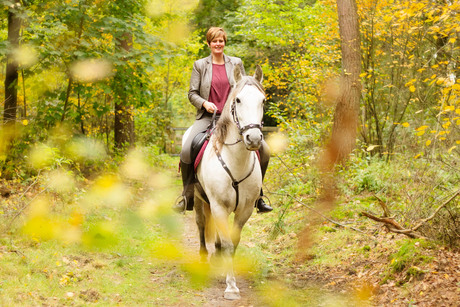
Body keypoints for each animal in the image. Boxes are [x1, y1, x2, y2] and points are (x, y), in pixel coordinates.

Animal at [185, 65, 266, 300]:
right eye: (238, 100)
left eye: (263, 100)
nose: (254, 139)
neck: (235, 160)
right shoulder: (219, 206)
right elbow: (228, 243)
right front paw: (231, 287)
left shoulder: (244, 210)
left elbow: (234, 242)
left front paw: (228, 275)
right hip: (199, 199)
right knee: (201, 224)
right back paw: (204, 257)